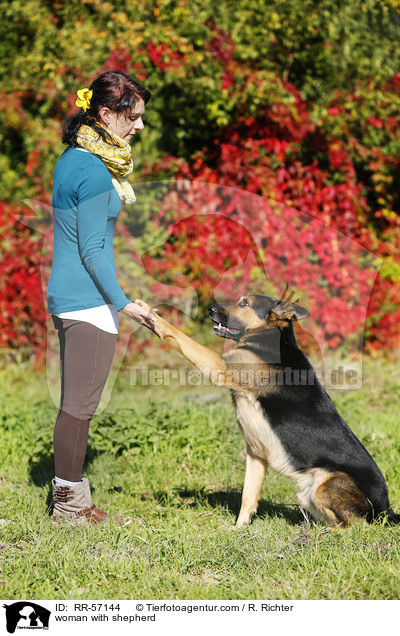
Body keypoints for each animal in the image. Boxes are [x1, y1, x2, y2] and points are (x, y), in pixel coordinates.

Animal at [142, 292, 398, 528]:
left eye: (245, 303)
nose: (210, 309)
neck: (270, 336)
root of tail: (386, 510)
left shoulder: (219, 366)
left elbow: (182, 338)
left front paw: (152, 315)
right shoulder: (255, 452)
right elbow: (248, 496)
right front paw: (239, 530)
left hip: (327, 482)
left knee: (356, 527)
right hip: (309, 494)